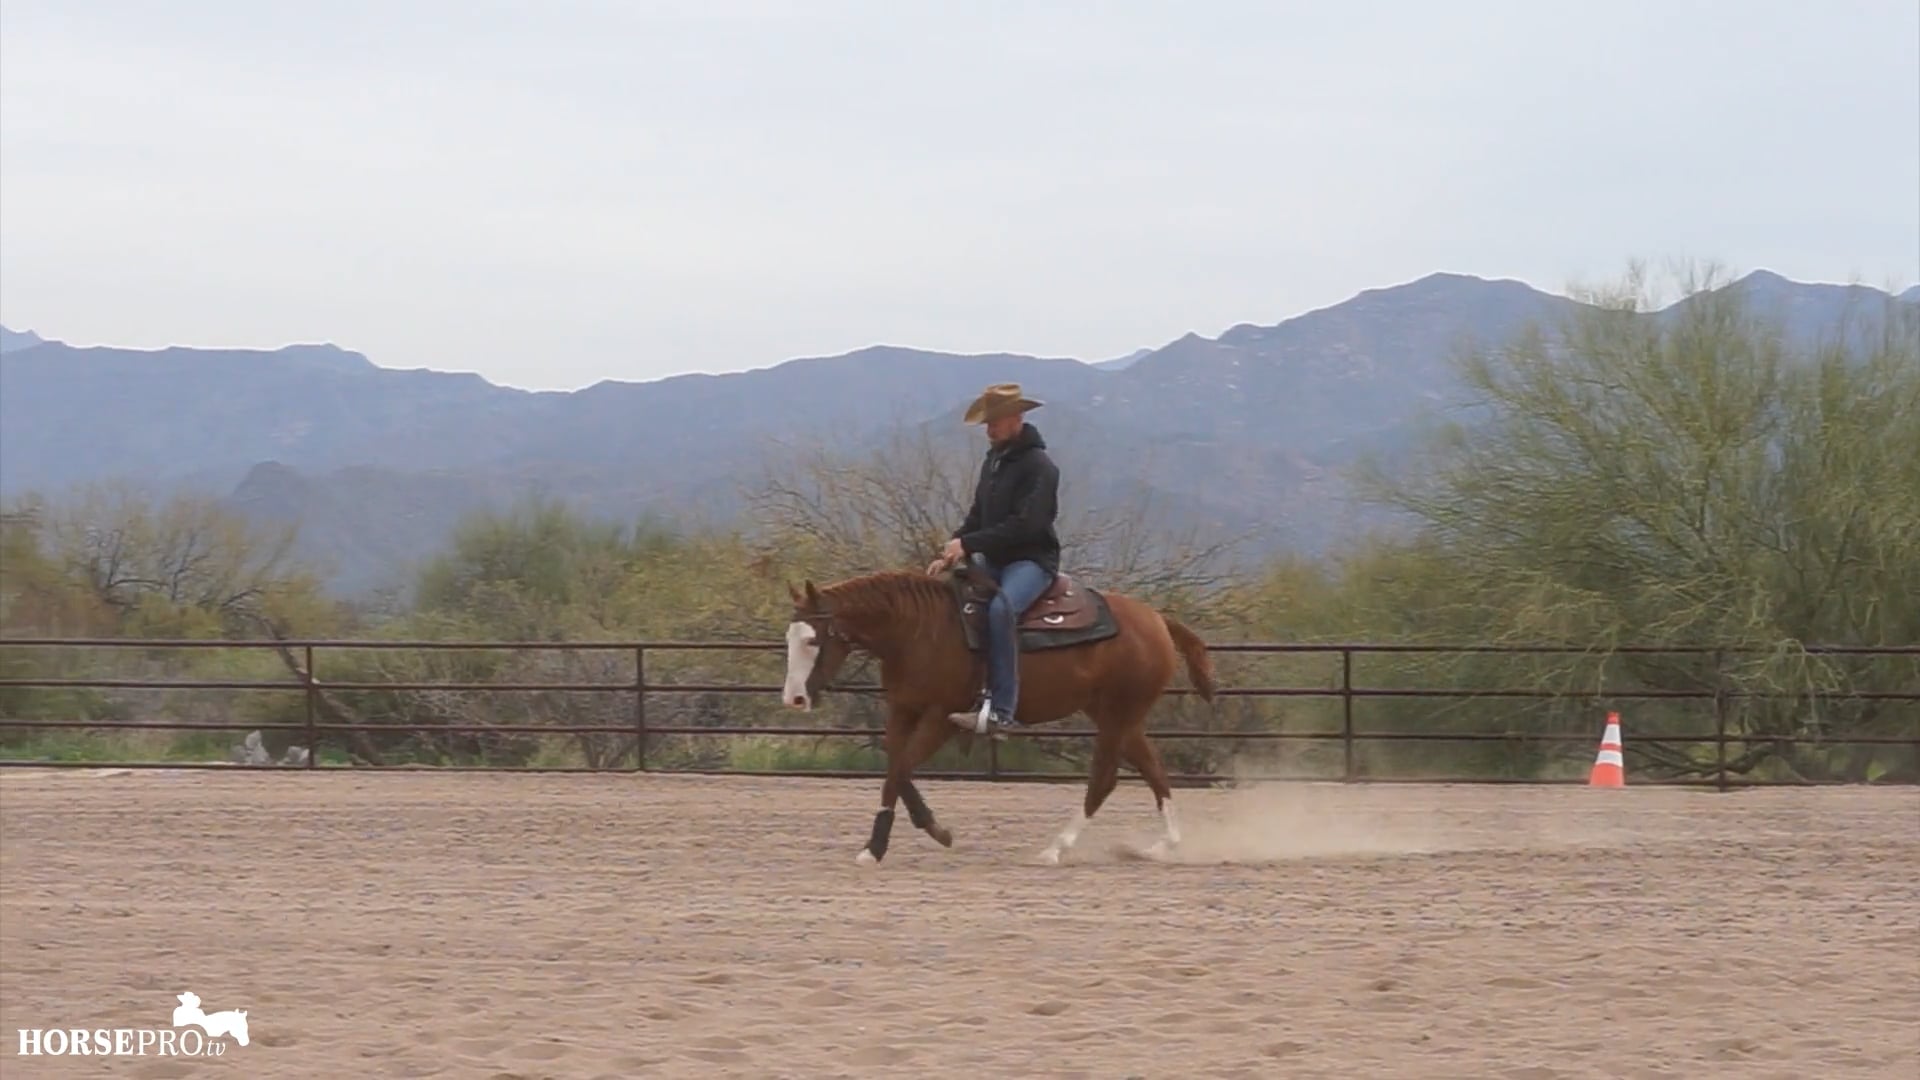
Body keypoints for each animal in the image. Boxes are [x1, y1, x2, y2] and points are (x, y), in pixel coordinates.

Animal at [782, 562, 1215, 865]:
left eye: (812, 640)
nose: (794, 699)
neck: (918, 630)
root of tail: (1158, 620)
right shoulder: (903, 709)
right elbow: (894, 769)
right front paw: (926, 832)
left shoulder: (941, 716)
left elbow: (901, 768)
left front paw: (885, 844)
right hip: (1119, 715)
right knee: (1153, 769)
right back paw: (1163, 846)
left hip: (1117, 715)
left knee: (1104, 778)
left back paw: (1056, 848)